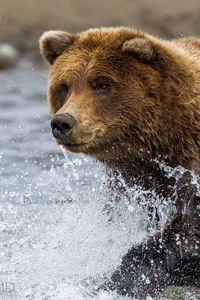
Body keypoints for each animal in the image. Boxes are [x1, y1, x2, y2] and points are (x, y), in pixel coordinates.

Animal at [39, 27, 200, 298]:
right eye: (65, 86)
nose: (62, 122)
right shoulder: (131, 182)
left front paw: (120, 279)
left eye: (102, 84)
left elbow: (185, 232)